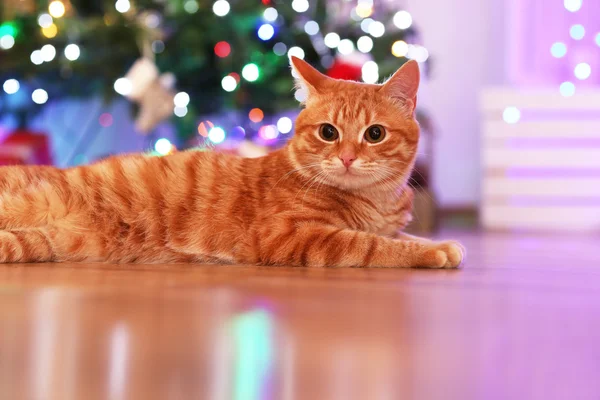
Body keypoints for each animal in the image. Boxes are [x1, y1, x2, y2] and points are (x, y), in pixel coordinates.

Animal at [0, 57, 464, 268]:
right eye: (328, 133)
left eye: (374, 134)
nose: (347, 157)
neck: (373, 201)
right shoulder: (292, 236)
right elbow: (373, 245)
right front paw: (434, 251)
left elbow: (402, 236)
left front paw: (436, 242)